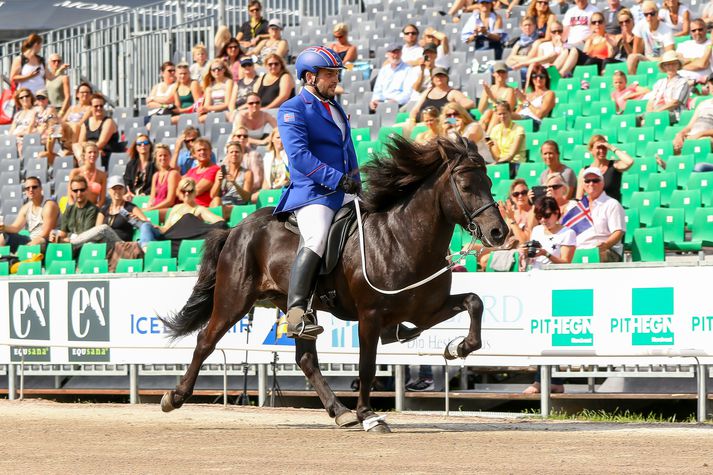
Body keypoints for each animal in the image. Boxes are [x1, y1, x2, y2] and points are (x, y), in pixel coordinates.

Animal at [160, 136, 506, 434]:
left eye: (490, 183)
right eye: (466, 185)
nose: (498, 232)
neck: (403, 238)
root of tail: (236, 228)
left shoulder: (425, 310)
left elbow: (474, 302)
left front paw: (457, 347)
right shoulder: (370, 316)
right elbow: (367, 366)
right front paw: (370, 416)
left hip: (296, 308)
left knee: (305, 359)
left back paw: (340, 411)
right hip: (234, 299)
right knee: (205, 341)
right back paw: (174, 397)